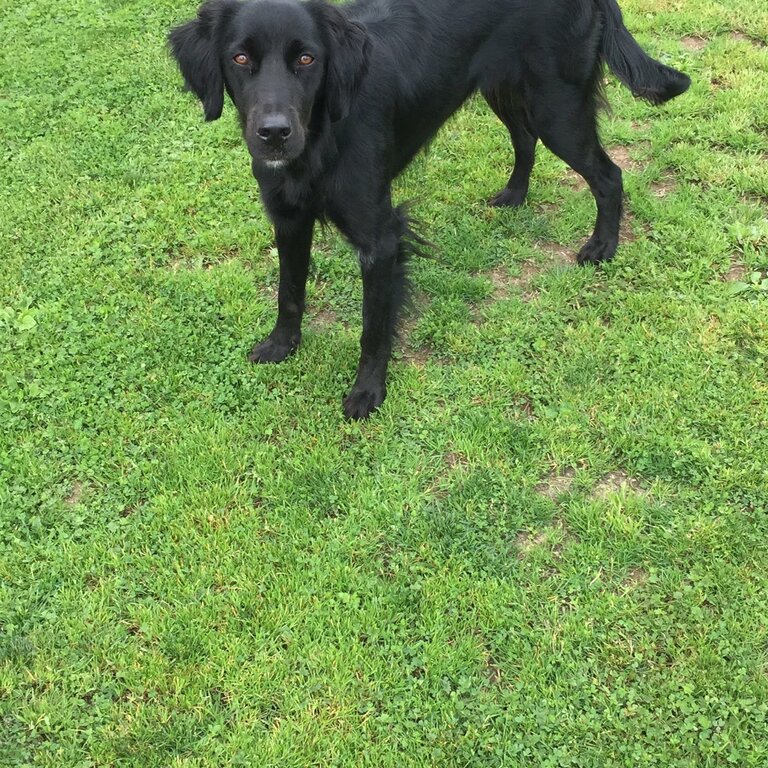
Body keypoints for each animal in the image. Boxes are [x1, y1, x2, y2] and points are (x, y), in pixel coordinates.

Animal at [170, 0, 688, 420]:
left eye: (306, 58)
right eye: (240, 58)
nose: (274, 134)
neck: (321, 136)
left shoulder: (380, 239)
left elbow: (374, 328)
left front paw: (367, 392)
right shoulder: (288, 220)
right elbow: (289, 292)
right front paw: (281, 345)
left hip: (557, 107)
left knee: (608, 175)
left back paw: (602, 246)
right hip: (505, 87)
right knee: (524, 138)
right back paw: (514, 196)